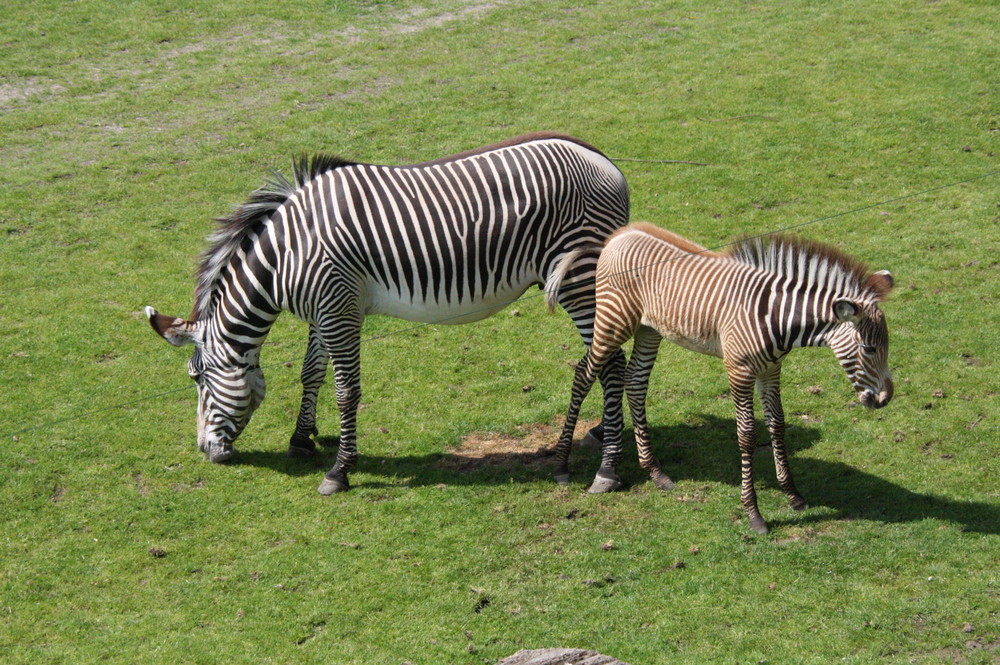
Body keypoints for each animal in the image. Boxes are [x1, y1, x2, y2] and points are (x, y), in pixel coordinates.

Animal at [145, 131, 628, 492]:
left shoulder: (339, 309)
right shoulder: (324, 309)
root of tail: (607, 162)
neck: (283, 259)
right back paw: (604, 433)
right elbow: (311, 372)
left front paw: (339, 470)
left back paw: (603, 469)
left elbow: (346, 390)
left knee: (611, 362)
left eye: (197, 379)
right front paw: (301, 439)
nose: (205, 453)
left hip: (578, 278)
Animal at [552, 223, 896, 536]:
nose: (884, 399)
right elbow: (746, 434)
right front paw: (753, 513)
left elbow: (778, 424)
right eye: (869, 348)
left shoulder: (771, 369)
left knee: (635, 383)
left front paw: (793, 495)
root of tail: (620, 234)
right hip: (613, 322)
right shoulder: (739, 370)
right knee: (583, 374)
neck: (775, 317)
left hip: (648, 328)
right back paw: (563, 465)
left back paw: (655, 472)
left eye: (887, 345)